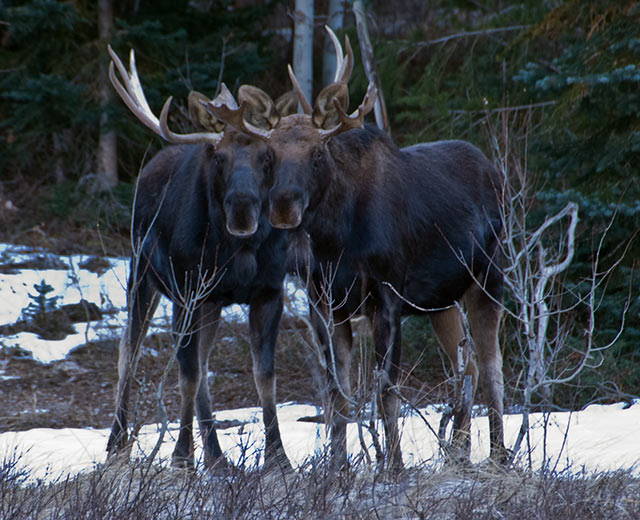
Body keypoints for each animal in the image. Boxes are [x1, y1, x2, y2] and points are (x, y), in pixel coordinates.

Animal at [105, 47, 296, 472]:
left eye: (267, 156)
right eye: (218, 156)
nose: (241, 209)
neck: (239, 252)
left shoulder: (269, 292)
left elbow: (265, 376)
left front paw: (279, 458)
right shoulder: (188, 292)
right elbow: (186, 376)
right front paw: (180, 456)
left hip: (210, 302)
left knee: (203, 363)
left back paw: (215, 455)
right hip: (143, 273)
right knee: (129, 350)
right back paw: (117, 443)